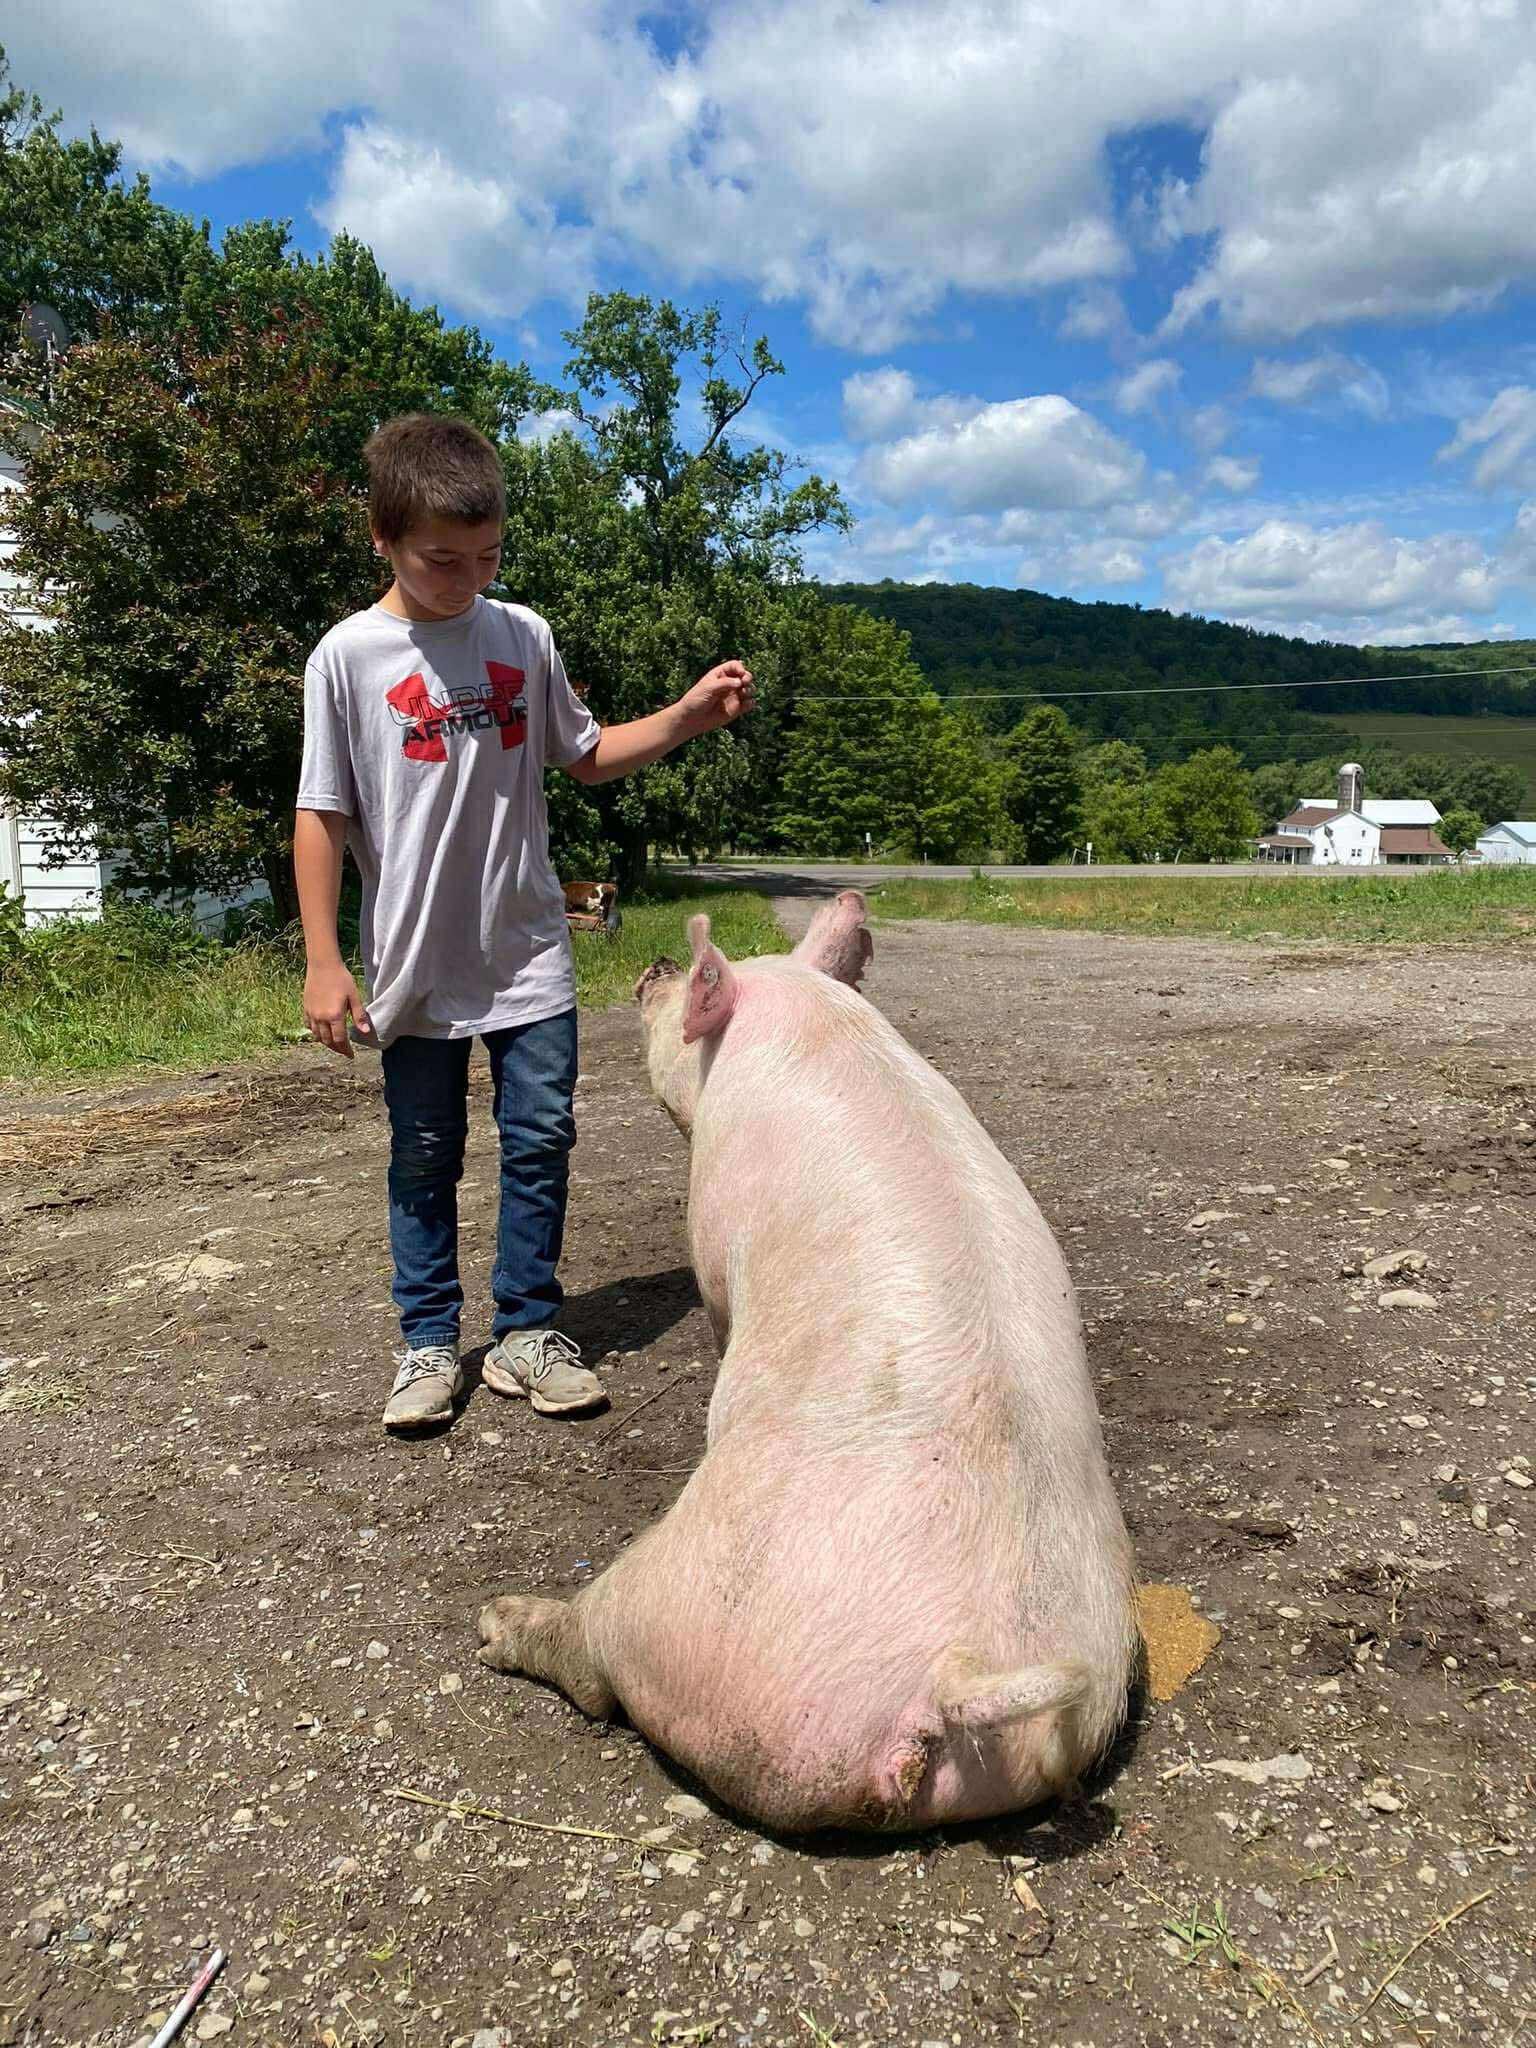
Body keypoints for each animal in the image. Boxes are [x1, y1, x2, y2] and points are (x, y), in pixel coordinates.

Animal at [478, 890, 1137, 1832]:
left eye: (680, 998)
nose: (655, 965)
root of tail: (961, 1669)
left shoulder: (713, 1233)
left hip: (688, 1611)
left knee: (598, 1662)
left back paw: (495, 1622)